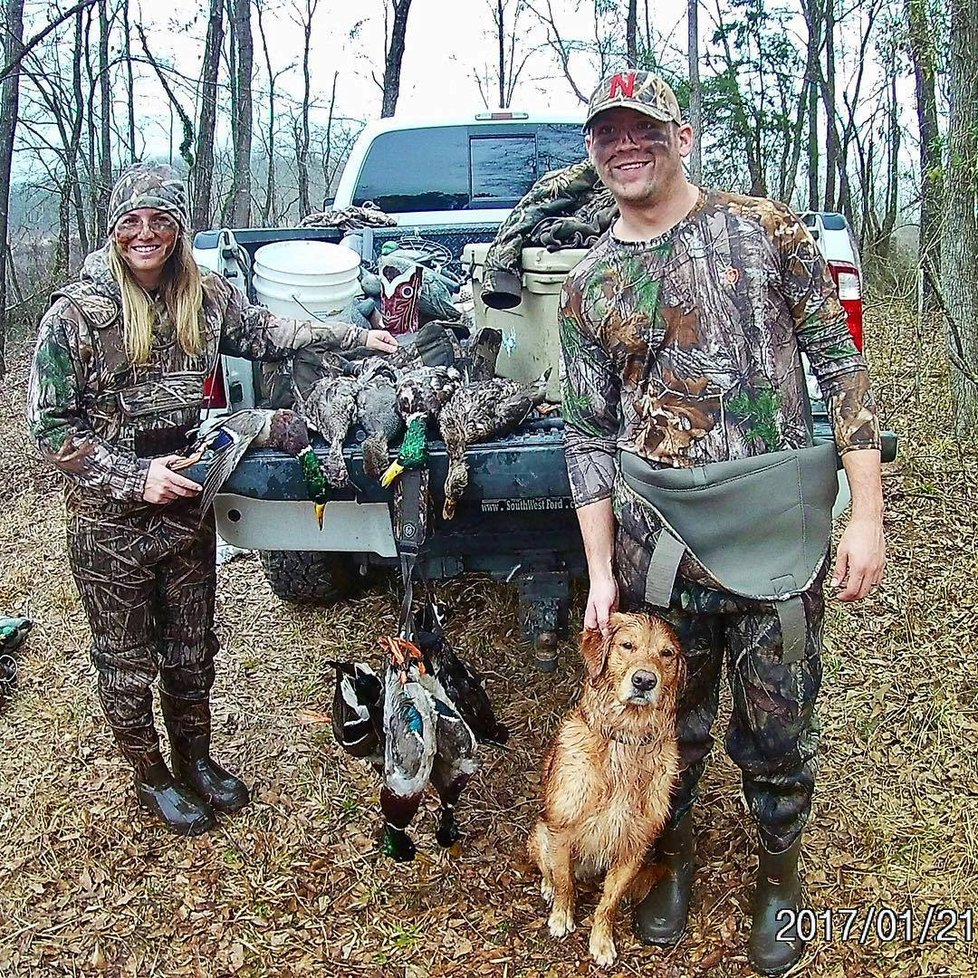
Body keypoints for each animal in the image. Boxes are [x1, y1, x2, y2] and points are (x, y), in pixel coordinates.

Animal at [528, 612, 680, 964]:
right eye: (627, 645)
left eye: (667, 654)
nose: (644, 681)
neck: (626, 739)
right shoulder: (560, 831)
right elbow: (564, 883)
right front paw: (562, 916)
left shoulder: (634, 848)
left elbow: (608, 902)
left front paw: (601, 940)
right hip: (538, 834)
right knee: (550, 870)